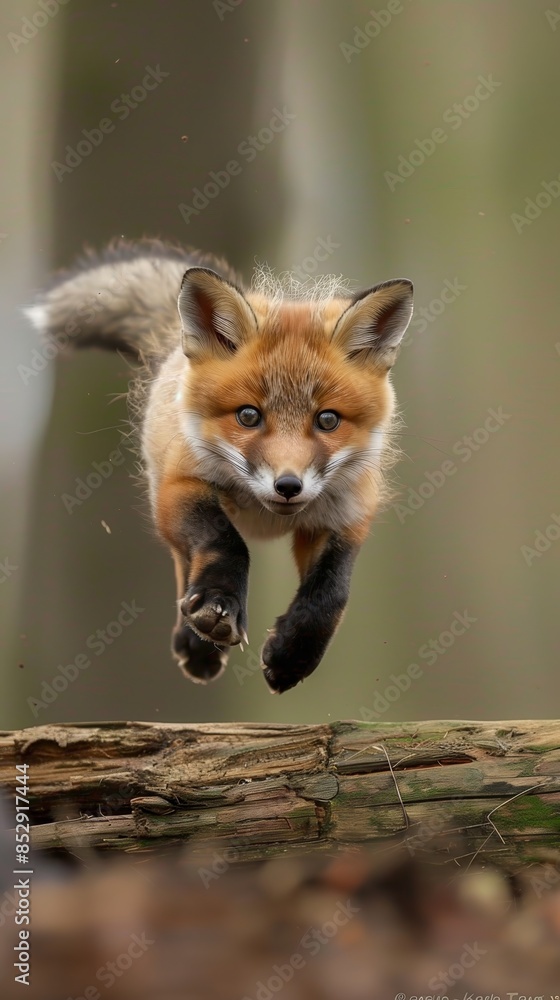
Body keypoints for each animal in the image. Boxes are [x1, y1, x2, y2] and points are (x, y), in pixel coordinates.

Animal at [25, 239, 413, 693]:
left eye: (328, 420)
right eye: (248, 416)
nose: (288, 486)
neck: (265, 516)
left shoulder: (347, 514)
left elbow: (332, 592)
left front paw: (293, 656)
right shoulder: (180, 483)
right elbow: (225, 542)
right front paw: (217, 607)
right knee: (185, 563)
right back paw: (196, 641)